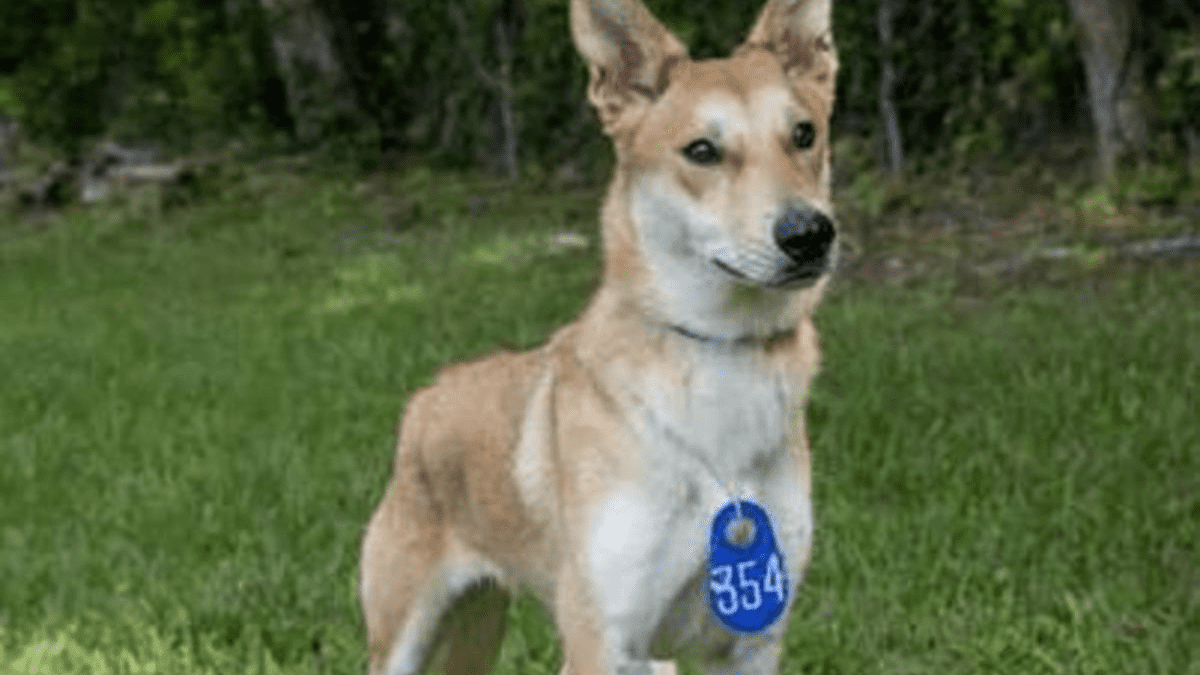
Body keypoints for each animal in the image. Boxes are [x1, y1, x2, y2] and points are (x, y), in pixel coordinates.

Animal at [360, 0, 840, 667]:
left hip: (488, 627)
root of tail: (429, 397)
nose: (810, 234)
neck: (717, 354)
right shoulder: (604, 640)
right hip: (404, 633)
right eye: (702, 150)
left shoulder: (751, 644)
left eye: (804, 134)